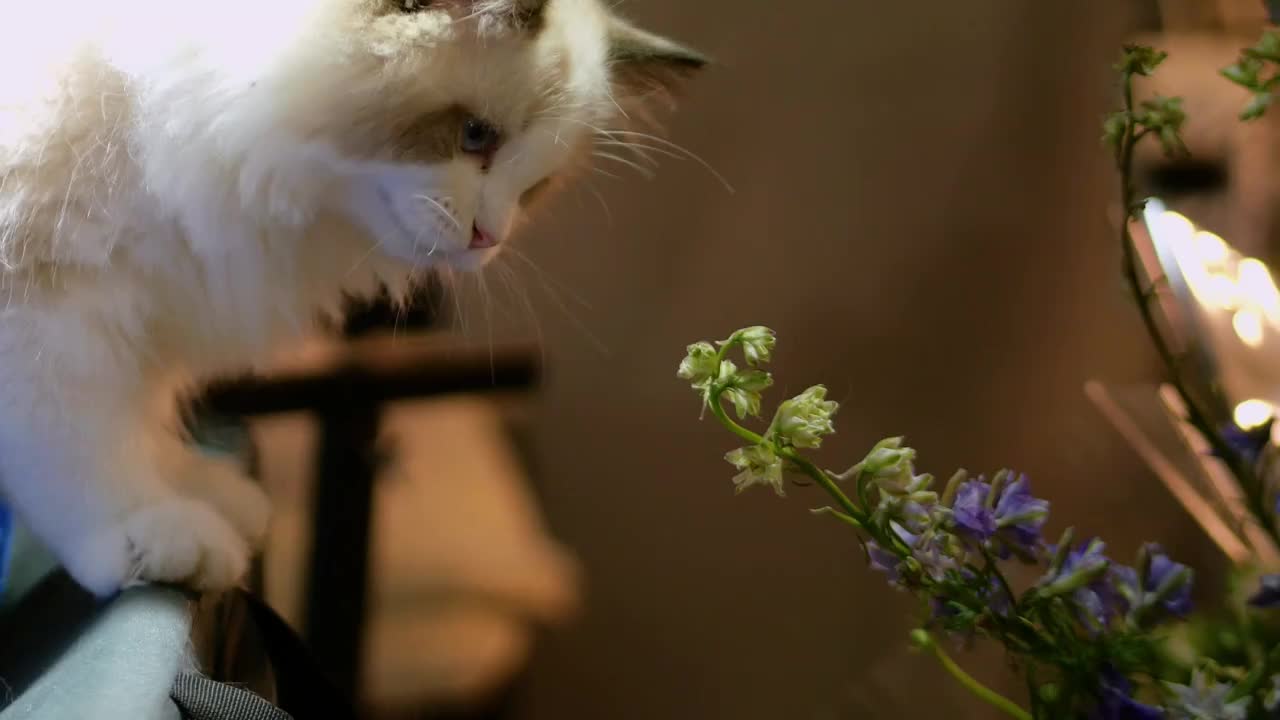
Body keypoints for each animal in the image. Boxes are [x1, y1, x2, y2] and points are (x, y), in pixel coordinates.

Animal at [0, 0, 701, 594]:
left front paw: (201, 490)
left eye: (536, 184)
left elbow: (141, 423)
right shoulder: (46, 306)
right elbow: (80, 440)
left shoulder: (153, 301)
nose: (490, 239)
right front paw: (148, 528)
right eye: (476, 136)